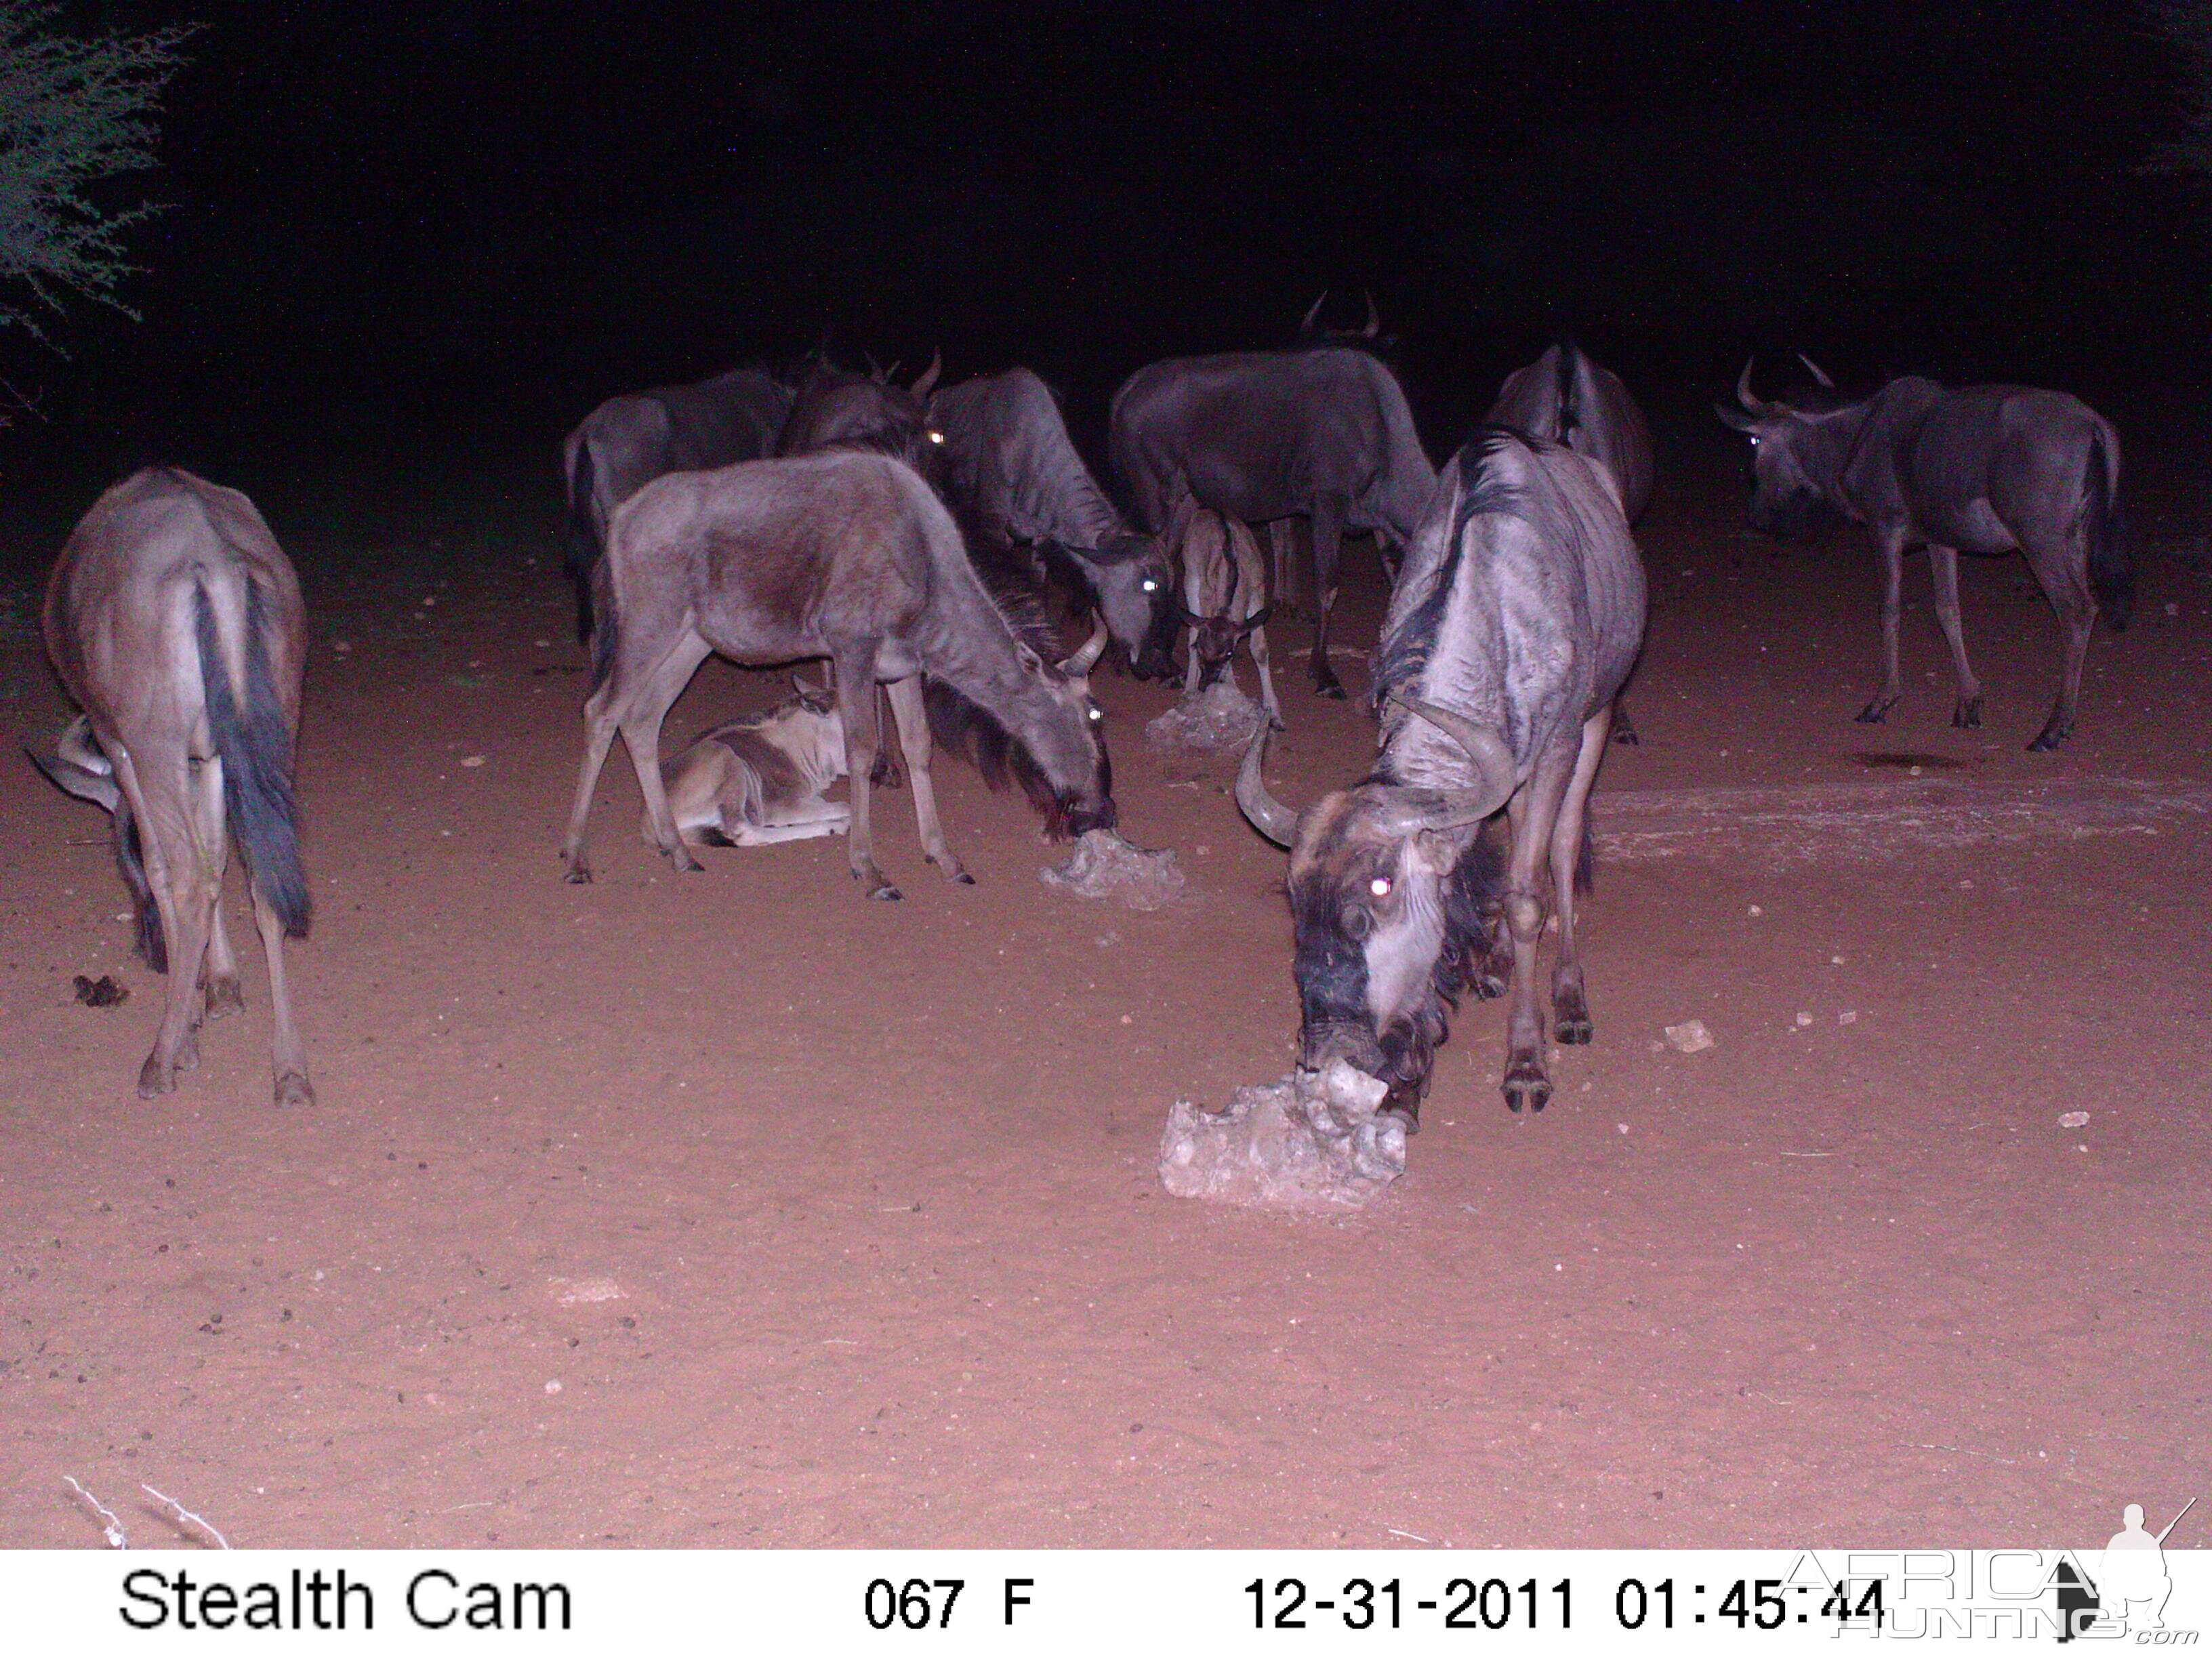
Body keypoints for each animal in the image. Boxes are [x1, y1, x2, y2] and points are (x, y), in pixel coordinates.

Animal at [1238, 436, 1654, 1124]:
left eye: (1381, 887)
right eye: (1295, 894)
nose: (1331, 1052)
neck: (1497, 616)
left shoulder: (1557, 751)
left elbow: (1528, 896)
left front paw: (1527, 1061)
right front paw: (1411, 1079)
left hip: (1598, 719)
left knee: (1562, 851)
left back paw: (1569, 998)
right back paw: (1495, 964)